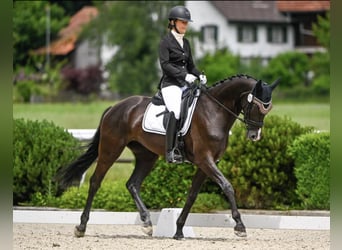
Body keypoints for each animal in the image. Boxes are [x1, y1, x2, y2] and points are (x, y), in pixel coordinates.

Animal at [55, 74, 278, 240]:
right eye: (256, 106)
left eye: (267, 109)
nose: (254, 136)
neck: (214, 112)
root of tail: (115, 107)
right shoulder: (205, 160)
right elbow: (227, 186)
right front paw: (240, 226)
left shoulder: (206, 163)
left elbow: (192, 195)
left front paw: (178, 230)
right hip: (111, 149)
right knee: (95, 181)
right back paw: (81, 227)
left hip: (147, 156)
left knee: (132, 184)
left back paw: (146, 223)